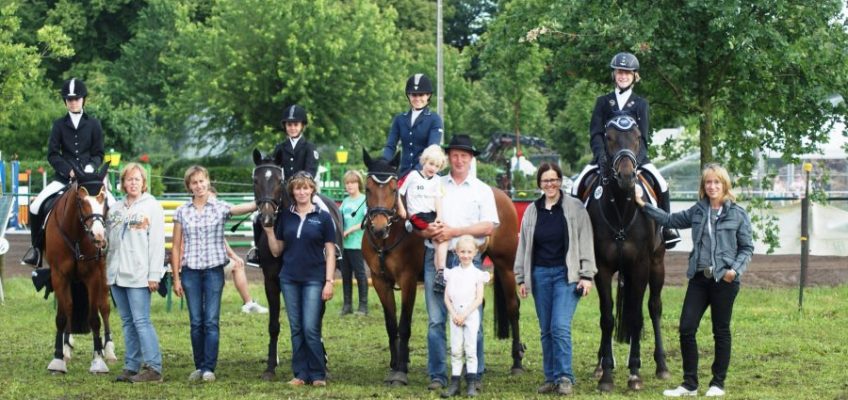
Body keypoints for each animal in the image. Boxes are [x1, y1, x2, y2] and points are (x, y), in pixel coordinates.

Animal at [44, 163, 117, 376]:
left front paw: (98, 360)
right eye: (81, 200)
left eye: (104, 200)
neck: (76, 233)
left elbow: (94, 318)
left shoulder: (93, 275)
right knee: (69, 307)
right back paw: (67, 346)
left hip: (103, 275)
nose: (99, 237)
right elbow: (62, 314)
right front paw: (58, 359)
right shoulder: (59, 275)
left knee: (104, 307)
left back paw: (109, 349)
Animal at [360, 148, 524, 386]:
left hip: (505, 266)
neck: (388, 238)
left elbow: (404, 324)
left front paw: (401, 370)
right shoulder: (380, 280)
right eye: (367, 189)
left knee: (513, 307)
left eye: (393, 189)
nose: (379, 228)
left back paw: (517, 362)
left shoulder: (408, 280)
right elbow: (391, 325)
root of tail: (501, 195)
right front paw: (394, 365)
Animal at [576, 114, 668, 392]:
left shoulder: (640, 266)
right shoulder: (602, 268)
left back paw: (662, 365)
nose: (627, 176)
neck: (621, 210)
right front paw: (606, 375)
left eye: (638, 137)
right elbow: (607, 317)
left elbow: (636, 317)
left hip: (657, 265)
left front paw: (634, 373)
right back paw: (599, 364)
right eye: (609, 137)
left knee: (654, 307)